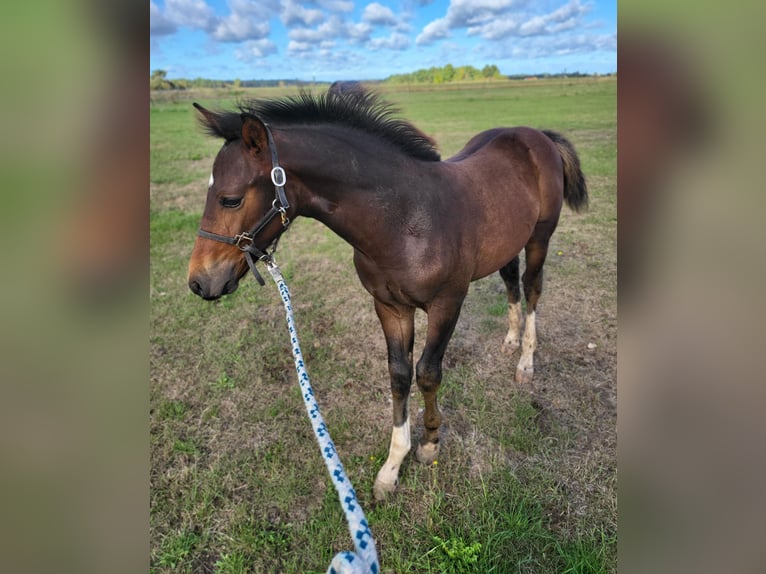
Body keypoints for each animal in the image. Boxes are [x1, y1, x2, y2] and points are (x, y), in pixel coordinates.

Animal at [186, 89, 588, 500]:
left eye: (230, 199)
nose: (200, 282)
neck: (406, 220)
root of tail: (535, 134)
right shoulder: (389, 306)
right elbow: (399, 375)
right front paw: (391, 470)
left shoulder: (447, 303)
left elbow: (427, 373)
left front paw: (429, 444)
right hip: (508, 242)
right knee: (509, 281)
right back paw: (509, 341)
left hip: (540, 237)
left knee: (532, 287)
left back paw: (525, 362)